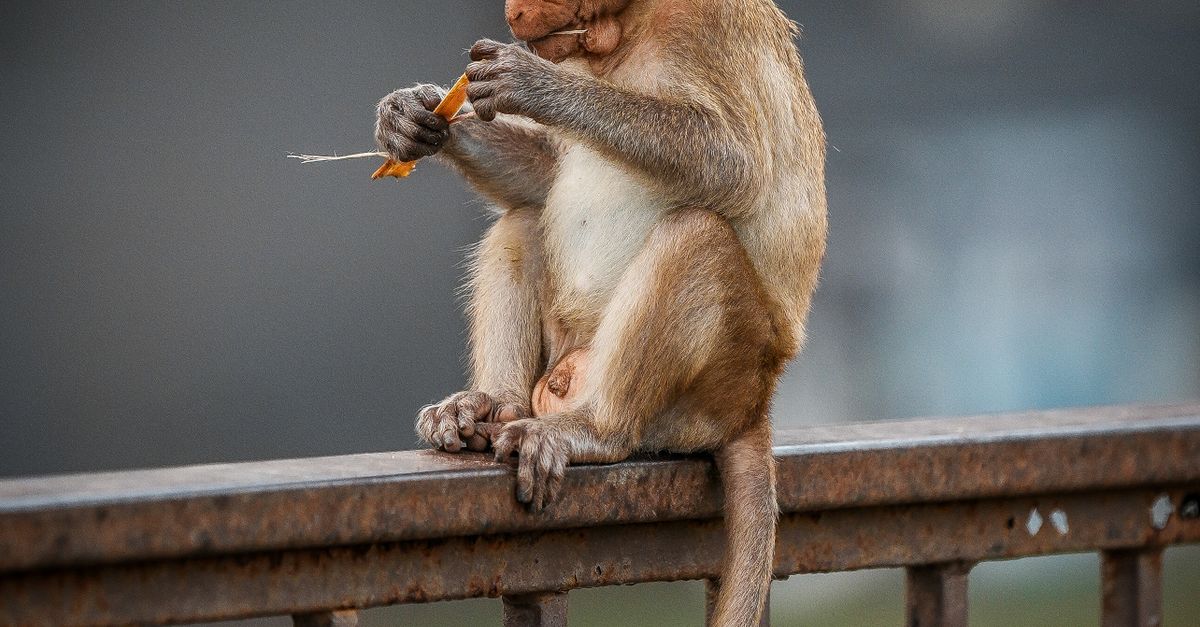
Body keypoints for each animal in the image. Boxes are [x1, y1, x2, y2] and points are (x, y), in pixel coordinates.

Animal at [374, 0, 826, 623]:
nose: (513, 13)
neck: (628, 30)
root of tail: (755, 403)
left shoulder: (707, 28)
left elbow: (734, 162)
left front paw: (530, 83)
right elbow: (544, 177)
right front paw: (416, 116)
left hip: (721, 379)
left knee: (696, 234)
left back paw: (595, 430)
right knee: (523, 218)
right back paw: (492, 405)